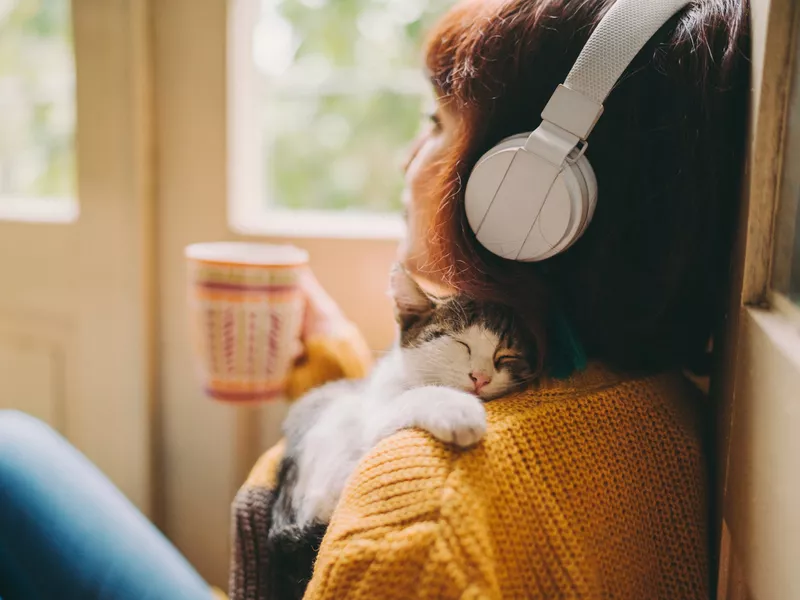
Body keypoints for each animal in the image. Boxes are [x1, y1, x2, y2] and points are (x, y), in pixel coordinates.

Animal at [266, 264, 536, 596]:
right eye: (462, 344)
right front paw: (458, 409)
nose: (480, 377)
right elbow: (407, 400)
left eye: (506, 356)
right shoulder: (373, 413)